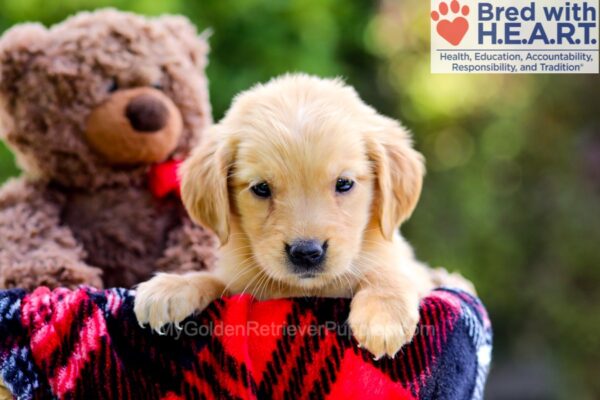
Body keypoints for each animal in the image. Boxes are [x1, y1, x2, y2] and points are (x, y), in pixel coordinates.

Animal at [135, 73, 436, 358]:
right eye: (261, 188)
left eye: (344, 183)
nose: (307, 253)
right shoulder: (240, 282)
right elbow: (216, 280)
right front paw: (174, 286)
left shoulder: (414, 271)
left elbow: (389, 272)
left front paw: (383, 316)